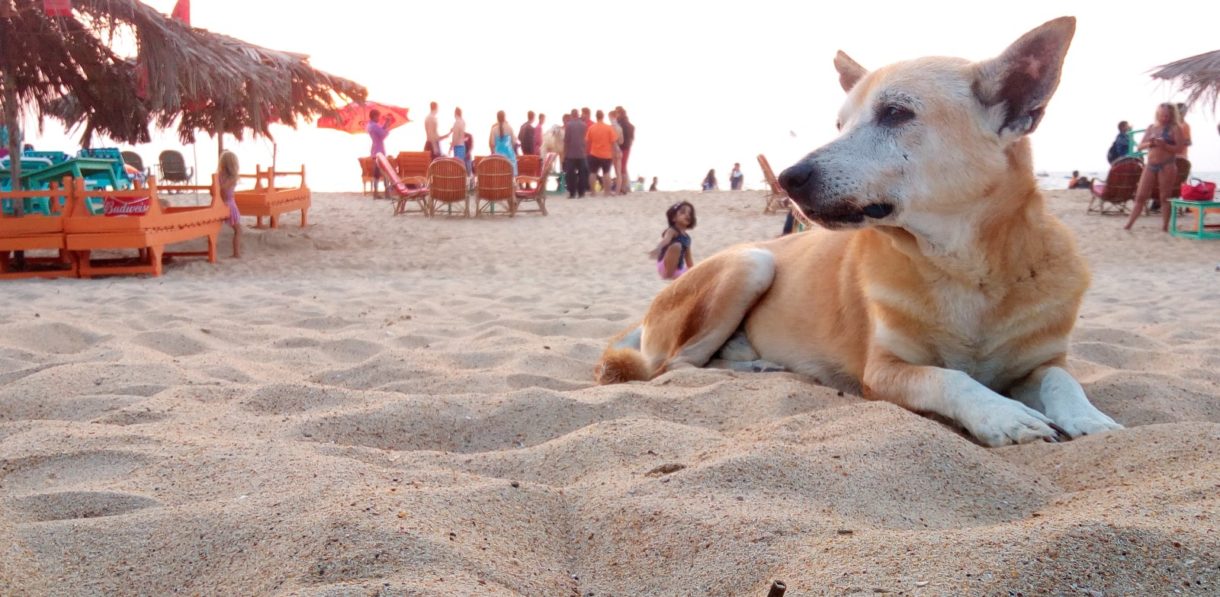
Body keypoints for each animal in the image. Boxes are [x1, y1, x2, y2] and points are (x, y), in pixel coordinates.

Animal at [592, 17, 1122, 446]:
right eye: (840, 124)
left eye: (896, 113)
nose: (787, 178)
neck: (965, 270)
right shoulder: (884, 371)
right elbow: (951, 379)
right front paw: (1004, 417)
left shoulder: (1039, 363)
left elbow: (1062, 380)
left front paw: (1091, 419)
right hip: (750, 262)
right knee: (675, 367)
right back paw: (757, 367)